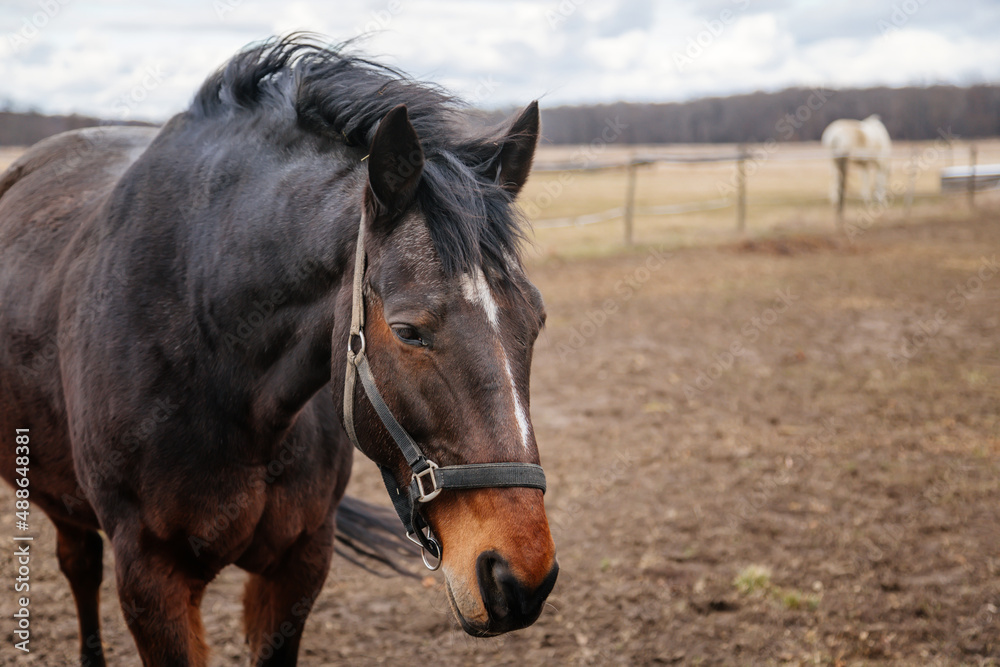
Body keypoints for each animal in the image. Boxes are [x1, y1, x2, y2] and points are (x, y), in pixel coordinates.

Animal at [0, 36, 557, 665]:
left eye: (535, 321)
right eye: (409, 330)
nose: (519, 576)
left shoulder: (298, 565)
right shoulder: (149, 578)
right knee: (79, 566)